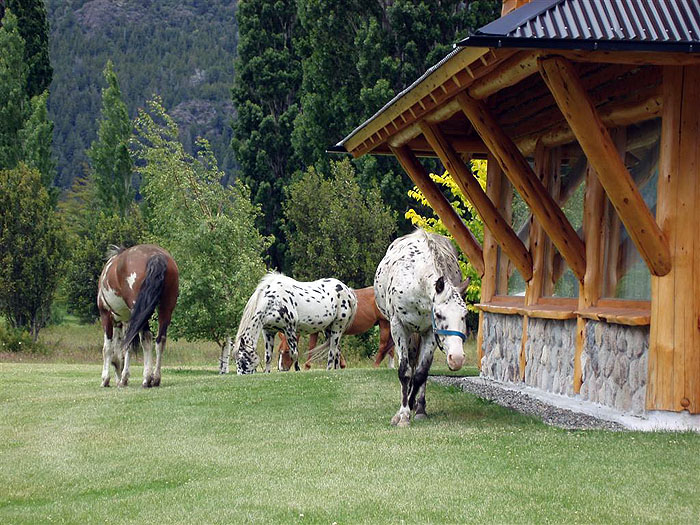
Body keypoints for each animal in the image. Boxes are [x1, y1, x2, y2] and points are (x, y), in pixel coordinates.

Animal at [97, 244, 179, 386]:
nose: (117, 379)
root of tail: (156, 255)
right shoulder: (127, 321)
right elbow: (126, 347)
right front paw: (123, 378)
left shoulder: (106, 315)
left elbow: (108, 348)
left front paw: (106, 379)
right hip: (166, 307)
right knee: (160, 340)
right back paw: (156, 378)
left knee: (147, 338)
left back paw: (147, 378)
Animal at [221, 272, 358, 374]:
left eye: (243, 361)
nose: (241, 375)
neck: (273, 301)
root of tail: (348, 291)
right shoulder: (268, 332)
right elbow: (268, 357)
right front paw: (267, 373)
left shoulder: (290, 329)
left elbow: (294, 354)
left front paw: (297, 371)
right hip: (328, 329)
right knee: (337, 351)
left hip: (338, 326)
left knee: (332, 352)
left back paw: (328, 370)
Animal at [374, 229, 468, 426]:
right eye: (439, 314)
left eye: (464, 315)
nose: (456, 359)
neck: (416, 282)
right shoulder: (399, 327)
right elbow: (405, 372)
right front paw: (402, 415)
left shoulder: (430, 332)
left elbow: (421, 373)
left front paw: (416, 407)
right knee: (410, 362)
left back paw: (418, 405)